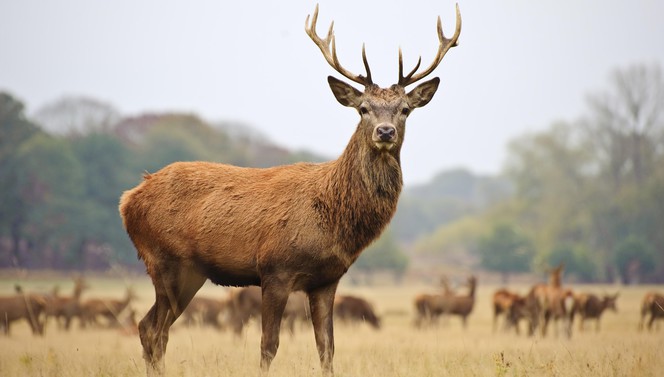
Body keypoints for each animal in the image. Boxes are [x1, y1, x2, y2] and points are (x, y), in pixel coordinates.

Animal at [119, 3, 462, 376]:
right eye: (363, 109)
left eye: (405, 110)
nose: (385, 131)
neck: (333, 217)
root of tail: (128, 199)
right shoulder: (275, 270)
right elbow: (268, 345)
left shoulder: (327, 280)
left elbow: (327, 347)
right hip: (164, 259)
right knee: (152, 328)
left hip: (190, 272)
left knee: (155, 329)